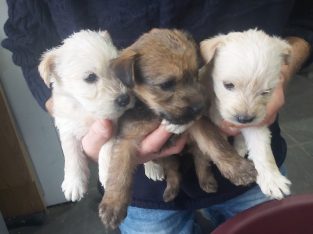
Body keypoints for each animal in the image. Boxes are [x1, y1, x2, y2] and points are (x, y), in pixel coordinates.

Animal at [37, 29, 133, 201]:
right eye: (90, 77)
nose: (125, 99)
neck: (86, 110)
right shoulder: (67, 128)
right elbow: (71, 154)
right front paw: (74, 182)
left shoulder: (114, 124)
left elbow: (107, 148)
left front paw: (108, 174)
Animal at [98, 27, 255, 229]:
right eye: (166, 85)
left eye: (196, 74)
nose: (201, 107)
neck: (157, 114)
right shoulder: (127, 138)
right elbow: (119, 170)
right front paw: (113, 205)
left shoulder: (198, 124)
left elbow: (217, 145)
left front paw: (239, 169)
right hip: (166, 157)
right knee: (174, 173)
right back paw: (171, 190)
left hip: (192, 150)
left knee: (200, 162)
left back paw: (207, 181)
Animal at [200, 28, 290, 198]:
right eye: (228, 85)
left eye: (266, 92)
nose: (244, 119)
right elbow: (217, 143)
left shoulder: (258, 121)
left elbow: (262, 150)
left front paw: (273, 179)